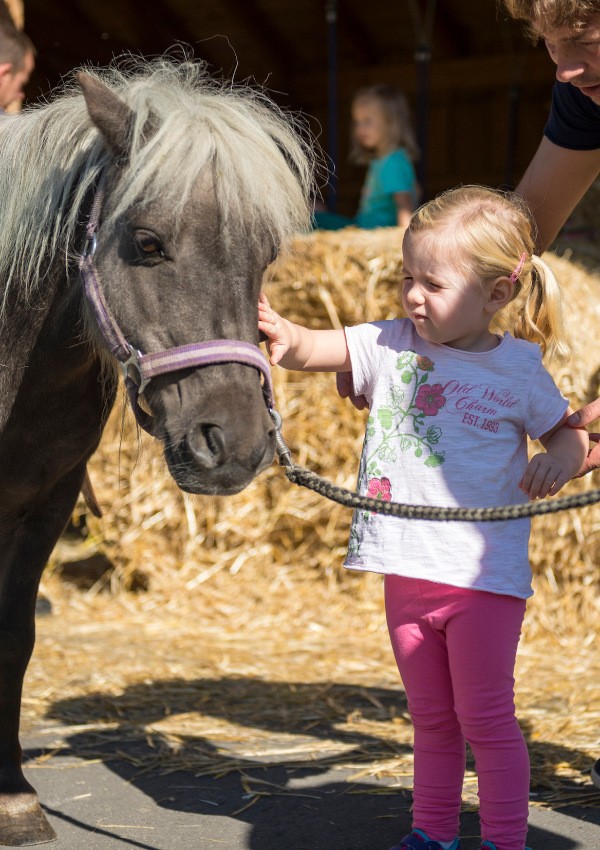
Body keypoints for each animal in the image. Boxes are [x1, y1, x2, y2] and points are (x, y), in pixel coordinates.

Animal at [0, 56, 313, 845]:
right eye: (147, 242)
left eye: (264, 257)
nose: (235, 444)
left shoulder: (45, 502)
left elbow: (13, 635)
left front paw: (11, 795)